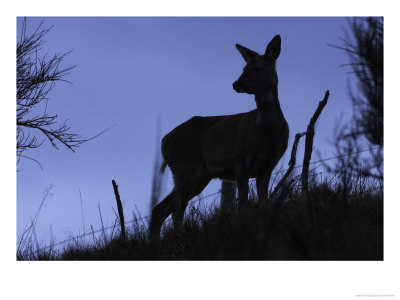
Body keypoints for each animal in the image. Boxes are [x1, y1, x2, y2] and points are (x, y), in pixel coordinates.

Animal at [149, 34, 288, 244]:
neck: (266, 131)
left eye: (256, 68)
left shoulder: (267, 167)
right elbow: (244, 203)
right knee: (176, 211)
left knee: (161, 209)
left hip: (198, 176)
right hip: (186, 169)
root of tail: (164, 142)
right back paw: (178, 241)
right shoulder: (240, 159)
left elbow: (263, 203)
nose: (236, 84)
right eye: (243, 68)